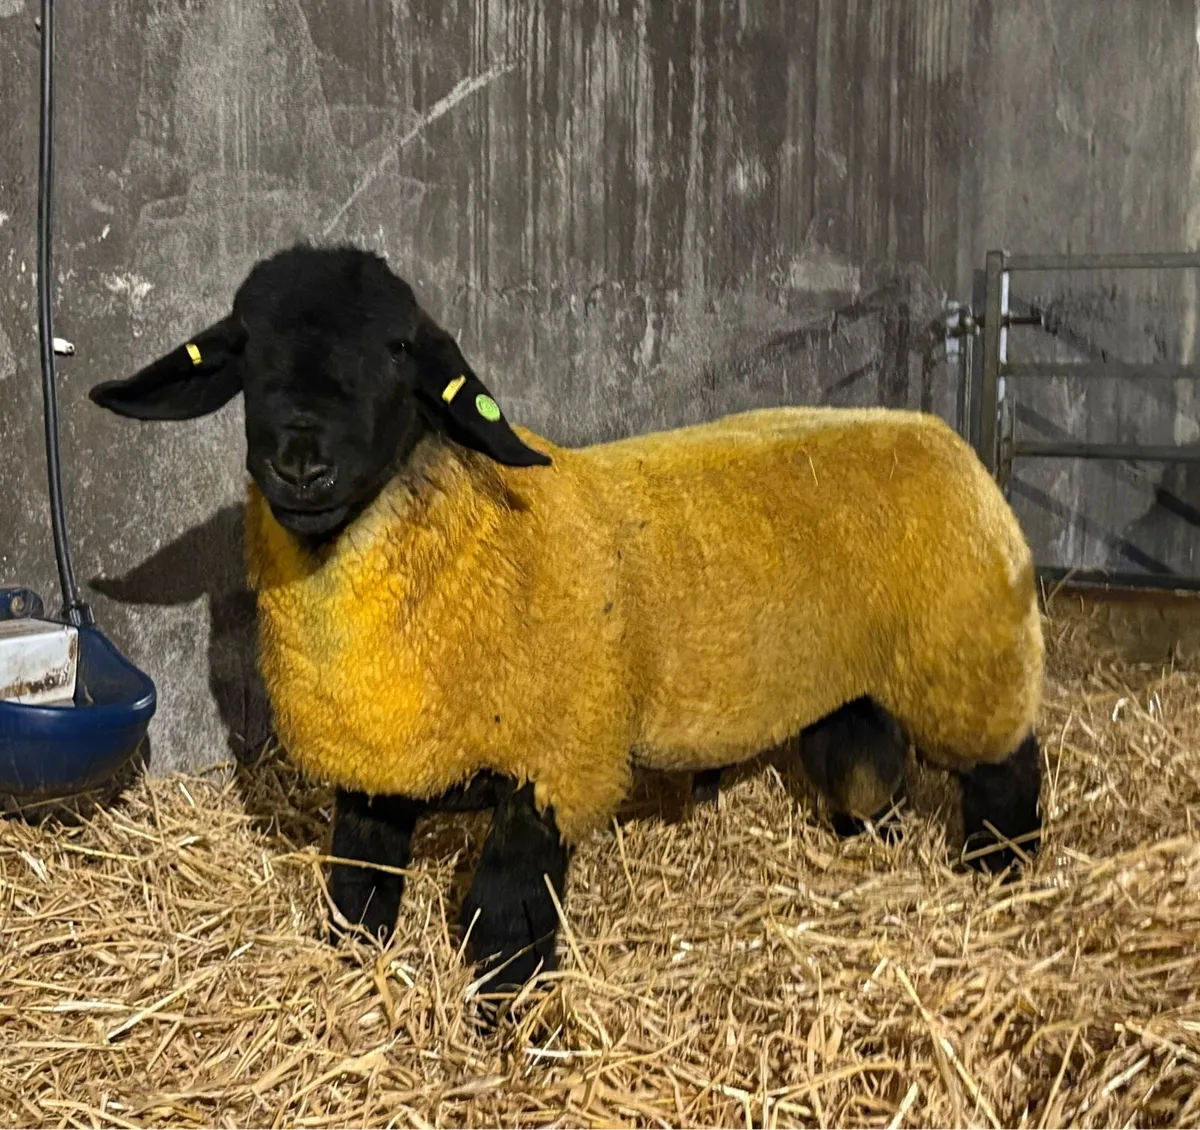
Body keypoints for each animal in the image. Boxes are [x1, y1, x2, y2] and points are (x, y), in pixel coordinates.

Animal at [89, 242, 1045, 1003]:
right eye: (247, 349)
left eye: (398, 350)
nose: (299, 464)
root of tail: (938, 432)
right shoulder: (374, 772)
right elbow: (356, 897)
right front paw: (354, 980)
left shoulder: (554, 767)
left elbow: (502, 920)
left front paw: (503, 1020)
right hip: (852, 678)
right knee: (863, 759)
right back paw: (868, 839)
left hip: (970, 654)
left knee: (1006, 769)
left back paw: (1004, 876)